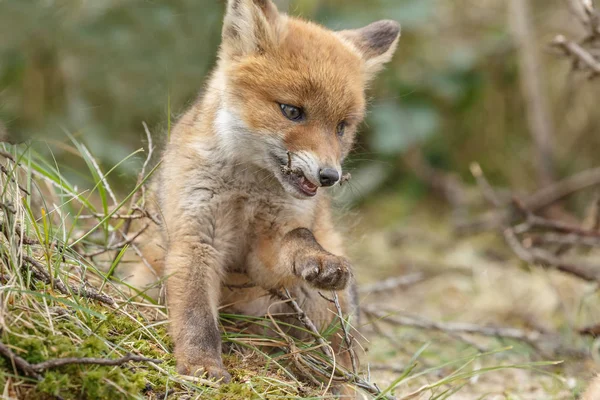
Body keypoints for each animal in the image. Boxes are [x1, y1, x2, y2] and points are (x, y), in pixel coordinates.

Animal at [129, 0, 400, 388]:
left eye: (341, 127)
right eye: (291, 111)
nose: (329, 176)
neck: (247, 190)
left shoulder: (266, 252)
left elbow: (298, 238)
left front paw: (317, 258)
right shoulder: (197, 236)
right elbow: (196, 315)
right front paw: (201, 365)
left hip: (321, 304)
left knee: (340, 362)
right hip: (147, 277)